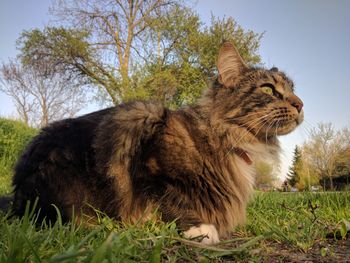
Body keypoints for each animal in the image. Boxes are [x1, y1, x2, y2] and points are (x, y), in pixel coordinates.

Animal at [4, 41, 304, 245]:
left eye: (292, 90)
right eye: (268, 89)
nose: (300, 104)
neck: (229, 138)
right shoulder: (149, 163)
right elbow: (169, 197)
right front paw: (200, 229)